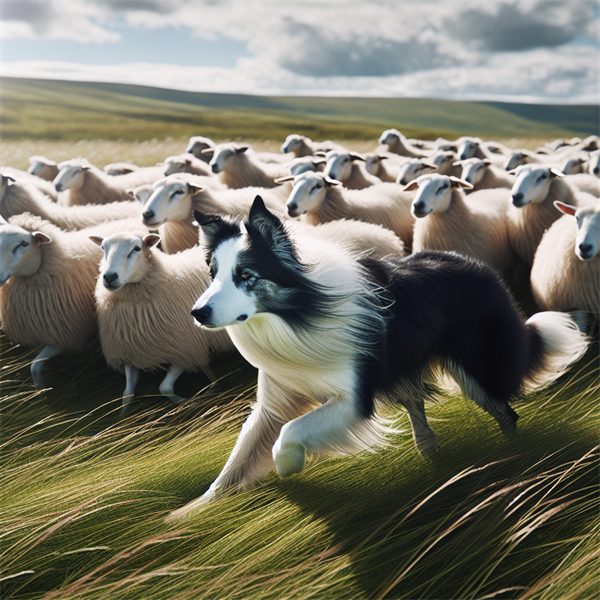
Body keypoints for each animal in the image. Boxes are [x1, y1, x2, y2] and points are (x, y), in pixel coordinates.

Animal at [91, 232, 234, 414]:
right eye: (103, 247)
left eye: (136, 248)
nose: (109, 277)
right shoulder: (132, 354)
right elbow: (126, 394)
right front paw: (122, 417)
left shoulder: (186, 349)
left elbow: (164, 388)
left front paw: (188, 401)